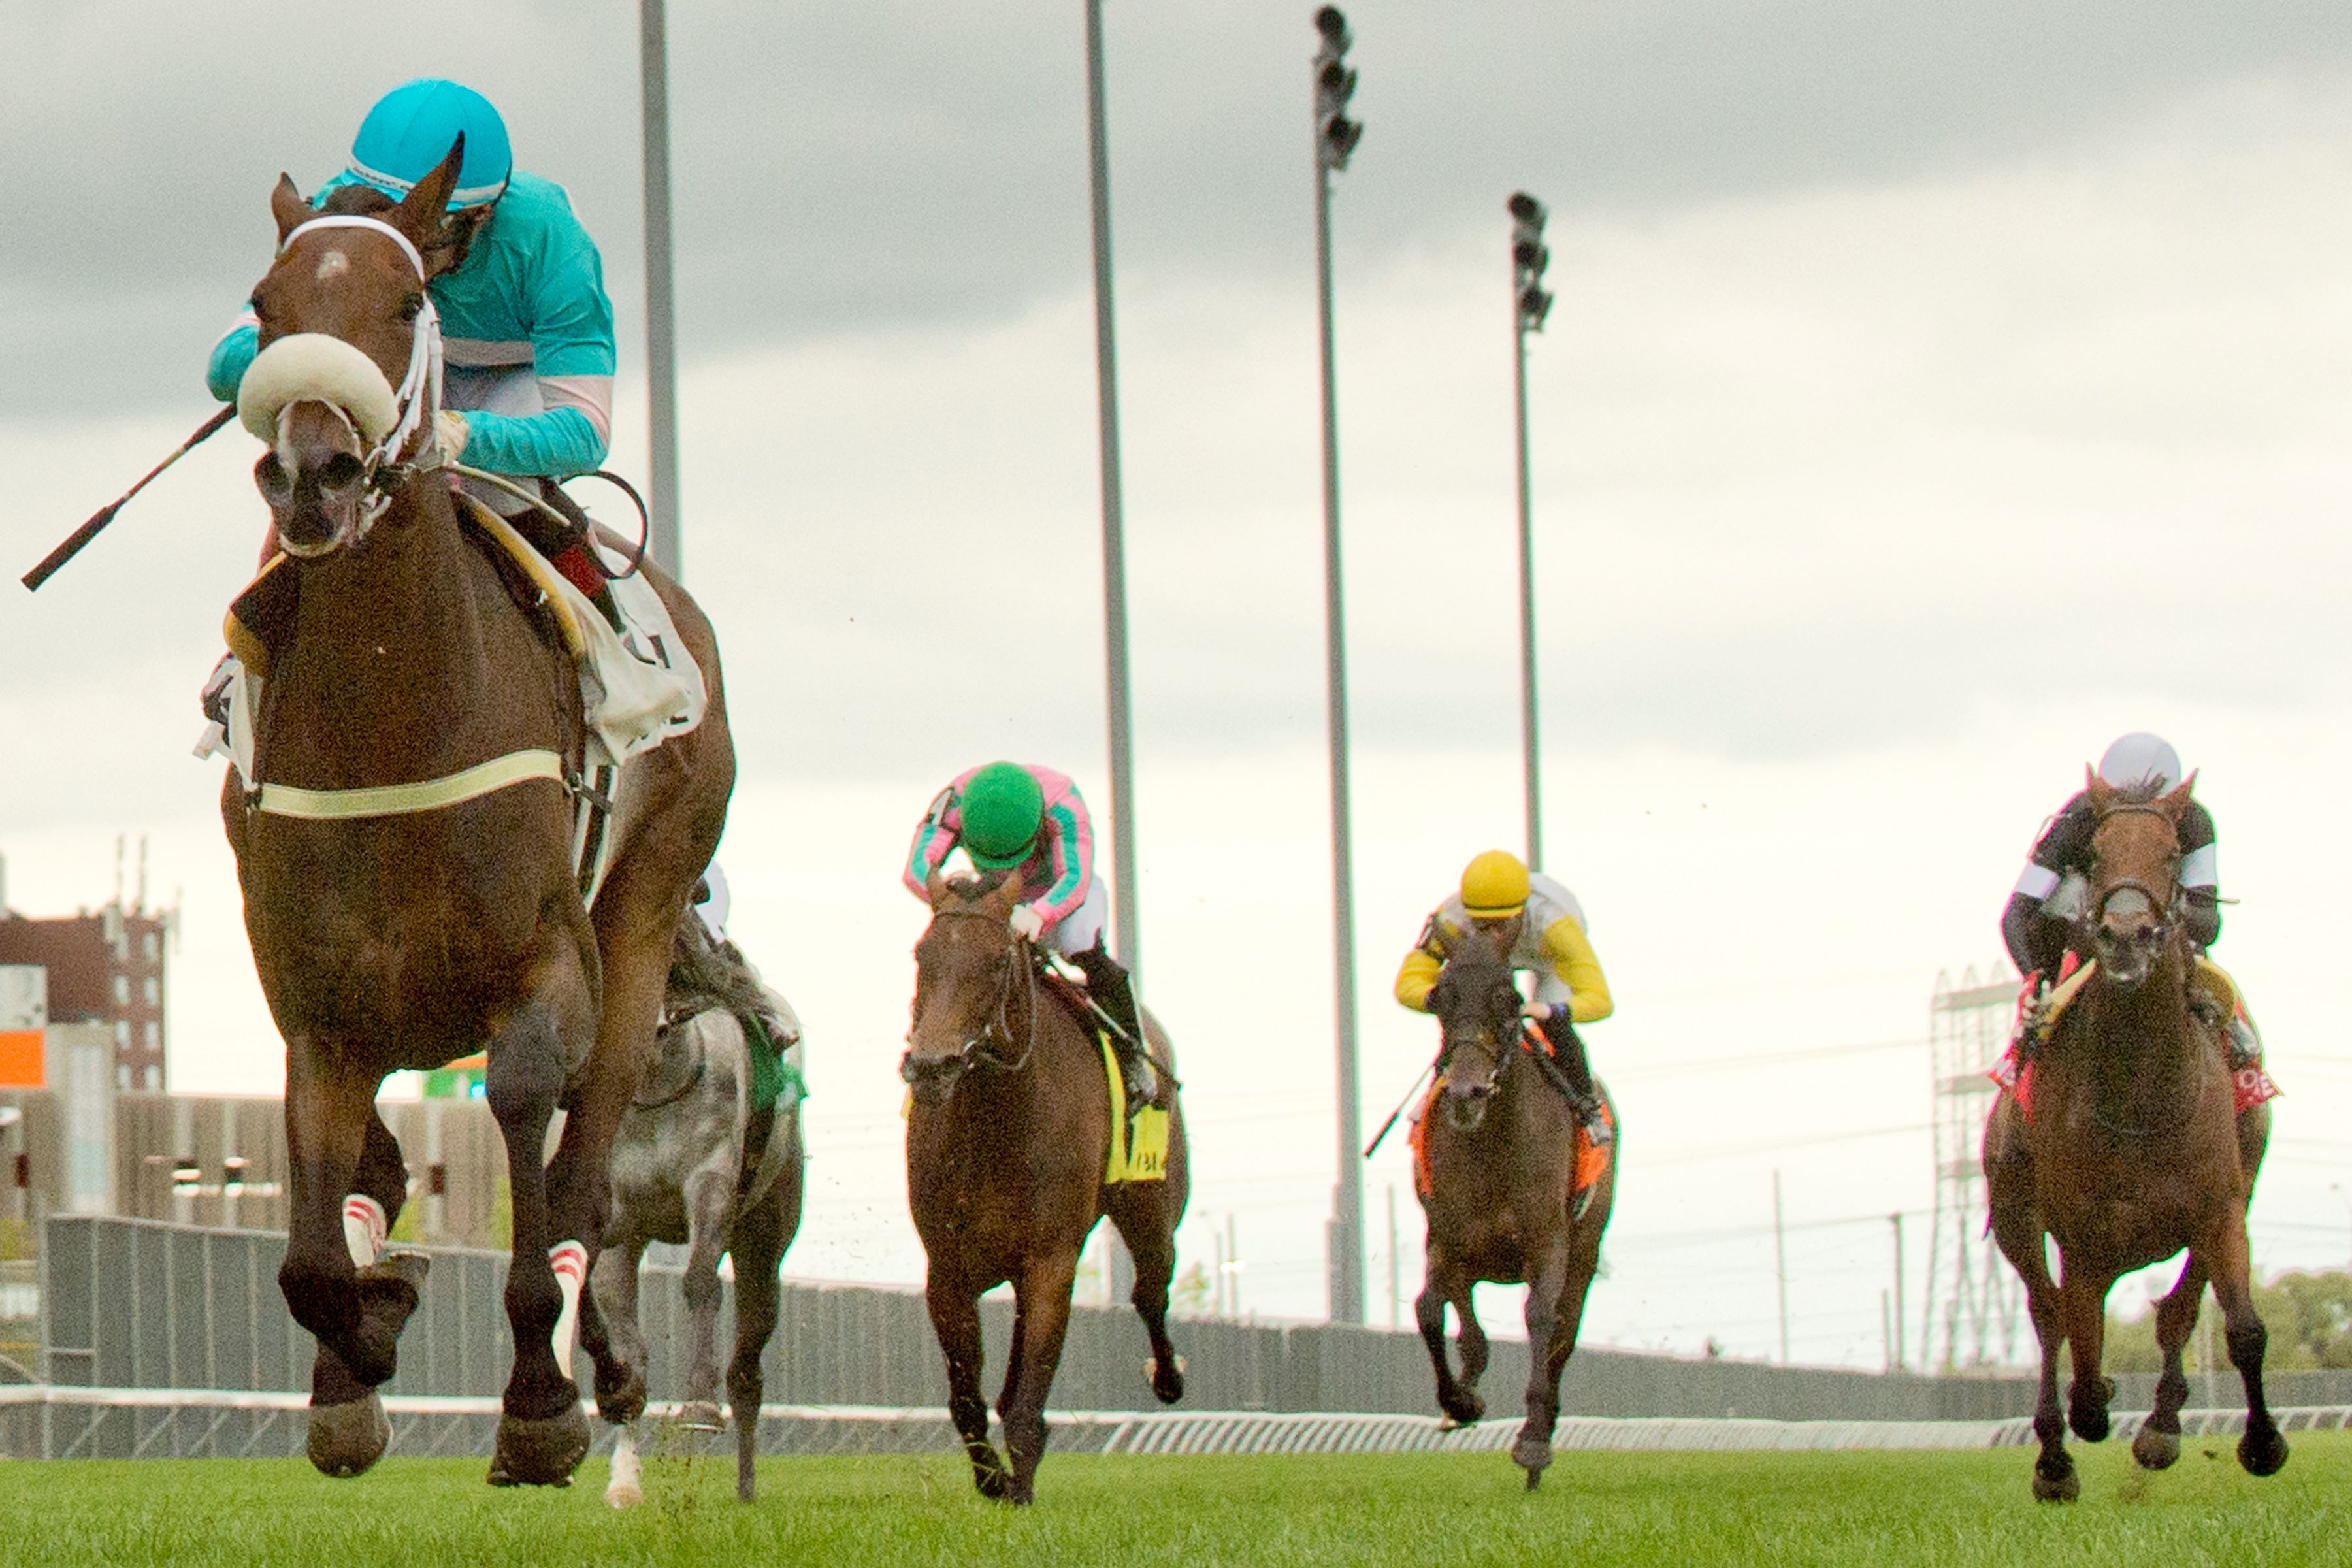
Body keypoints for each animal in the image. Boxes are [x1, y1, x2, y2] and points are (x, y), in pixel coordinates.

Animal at [222, 144, 734, 1486]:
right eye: (264, 309)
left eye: (408, 306)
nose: (314, 472)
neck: (395, 710)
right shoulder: (319, 1005)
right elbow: (312, 1248)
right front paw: (361, 1355)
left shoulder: (547, 966)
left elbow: (522, 1118)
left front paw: (540, 1406)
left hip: (646, 914)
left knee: (588, 1165)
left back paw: (604, 1369)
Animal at [593, 921, 804, 1504]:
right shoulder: (618, 1220)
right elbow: (624, 1334)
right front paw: (624, 1476)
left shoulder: (709, 1180)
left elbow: (700, 1283)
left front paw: (700, 1405)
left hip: (764, 1234)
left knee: (749, 1366)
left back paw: (746, 1484)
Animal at [903, 870, 1194, 1504]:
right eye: (922, 955)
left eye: (995, 962)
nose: (931, 1066)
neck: (998, 1121)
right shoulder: (947, 1268)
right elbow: (967, 1396)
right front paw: (993, 1479)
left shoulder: (1051, 1260)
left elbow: (1028, 1399)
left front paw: (1019, 1485)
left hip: (1152, 1212)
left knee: (1150, 1293)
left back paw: (1167, 1378)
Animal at [1411, 930, 1618, 1495]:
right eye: (1440, 1000)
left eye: (1508, 1001)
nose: (1467, 1093)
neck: (1492, 1149)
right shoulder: (1446, 1239)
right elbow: (1431, 1312)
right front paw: (1460, 1401)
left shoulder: (1548, 1241)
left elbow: (1542, 1319)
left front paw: (1531, 1444)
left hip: (1585, 1250)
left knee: (1564, 1335)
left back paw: (1541, 1432)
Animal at [1985, 776, 2276, 1504]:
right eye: (2092, 854)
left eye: (2173, 854)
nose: (2125, 936)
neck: (2141, 1094)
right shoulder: (2083, 1238)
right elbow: (2084, 1358)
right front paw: (2089, 1419)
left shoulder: (2220, 1206)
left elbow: (2238, 1328)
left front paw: (2259, 1443)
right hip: (2013, 1211)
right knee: (2049, 1316)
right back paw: (2054, 1461)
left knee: (2177, 1309)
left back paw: (2160, 1424)